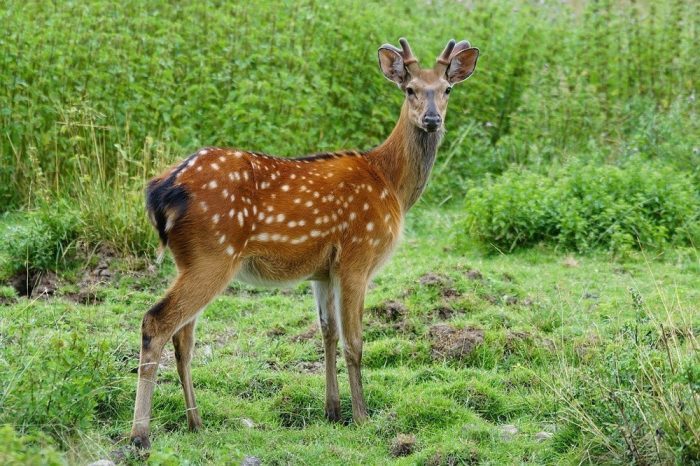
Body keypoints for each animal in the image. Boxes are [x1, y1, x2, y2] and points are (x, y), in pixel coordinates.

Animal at [130, 38, 479, 449]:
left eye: (447, 89)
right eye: (409, 89)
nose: (432, 119)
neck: (390, 183)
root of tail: (160, 190)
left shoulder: (323, 271)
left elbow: (328, 333)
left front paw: (333, 411)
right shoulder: (358, 255)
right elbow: (355, 341)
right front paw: (362, 417)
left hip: (191, 260)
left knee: (183, 335)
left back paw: (195, 422)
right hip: (212, 254)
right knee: (157, 322)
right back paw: (140, 435)